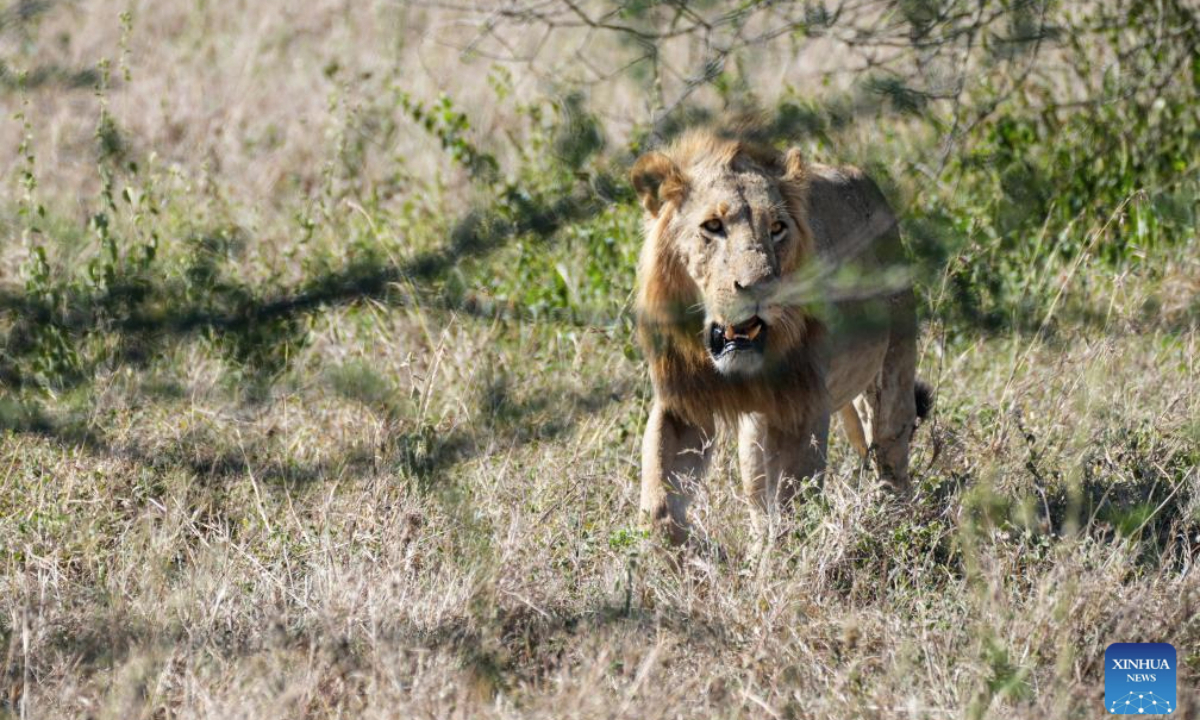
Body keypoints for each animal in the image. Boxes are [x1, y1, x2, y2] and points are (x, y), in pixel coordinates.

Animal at [633, 126, 931, 549]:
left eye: (777, 228)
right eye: (712, 226)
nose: (760, 287)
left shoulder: (803, 404)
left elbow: (793, 506)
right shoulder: (682, 402)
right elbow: (659, 505)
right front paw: (695, 553)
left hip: (892, 377)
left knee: (891, 458)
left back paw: (897, 527)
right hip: (756, 432)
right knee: (758, 497)